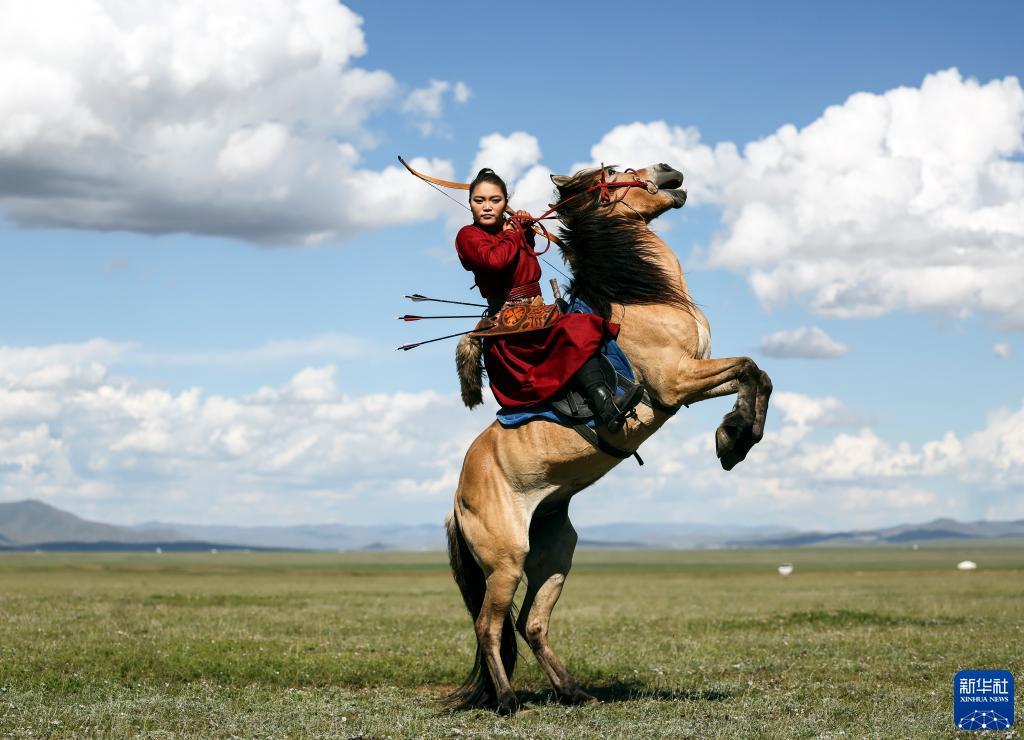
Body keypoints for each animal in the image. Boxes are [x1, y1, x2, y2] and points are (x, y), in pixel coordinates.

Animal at [444, 161, 770, 712]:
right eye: (617, 172)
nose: (669, 170)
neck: (641, 298)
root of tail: (457, 498)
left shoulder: (690, 383)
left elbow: (757, 376)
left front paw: (735, 438)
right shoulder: (676, 380)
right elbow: (750, 367)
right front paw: (733, 441)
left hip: (554, 551)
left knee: (532, 623)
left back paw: (573, 691)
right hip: (505, 563)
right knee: (490, 625)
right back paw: (508, 701)